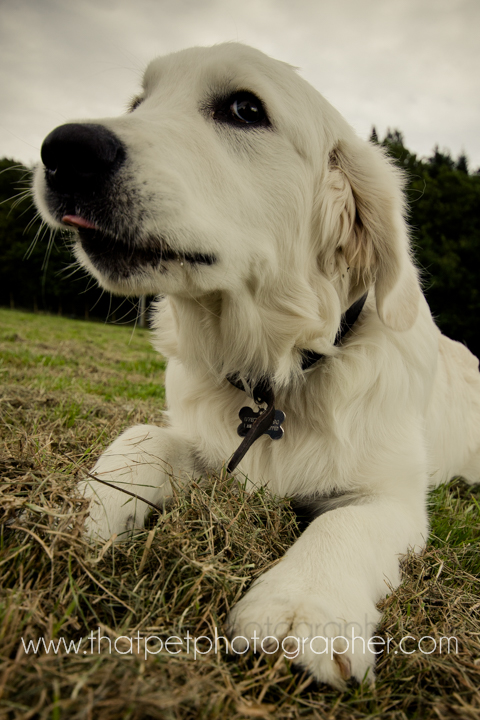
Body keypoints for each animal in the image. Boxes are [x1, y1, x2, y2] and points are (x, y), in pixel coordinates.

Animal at [34, 43, 480, 688]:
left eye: (245, 109)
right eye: (139, 103)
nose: (64, 151)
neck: (279, 369)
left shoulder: (393, 497)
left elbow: (344, 524)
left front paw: (301, 610)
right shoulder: (204, 443)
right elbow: (139, 437)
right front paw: (80, 518)